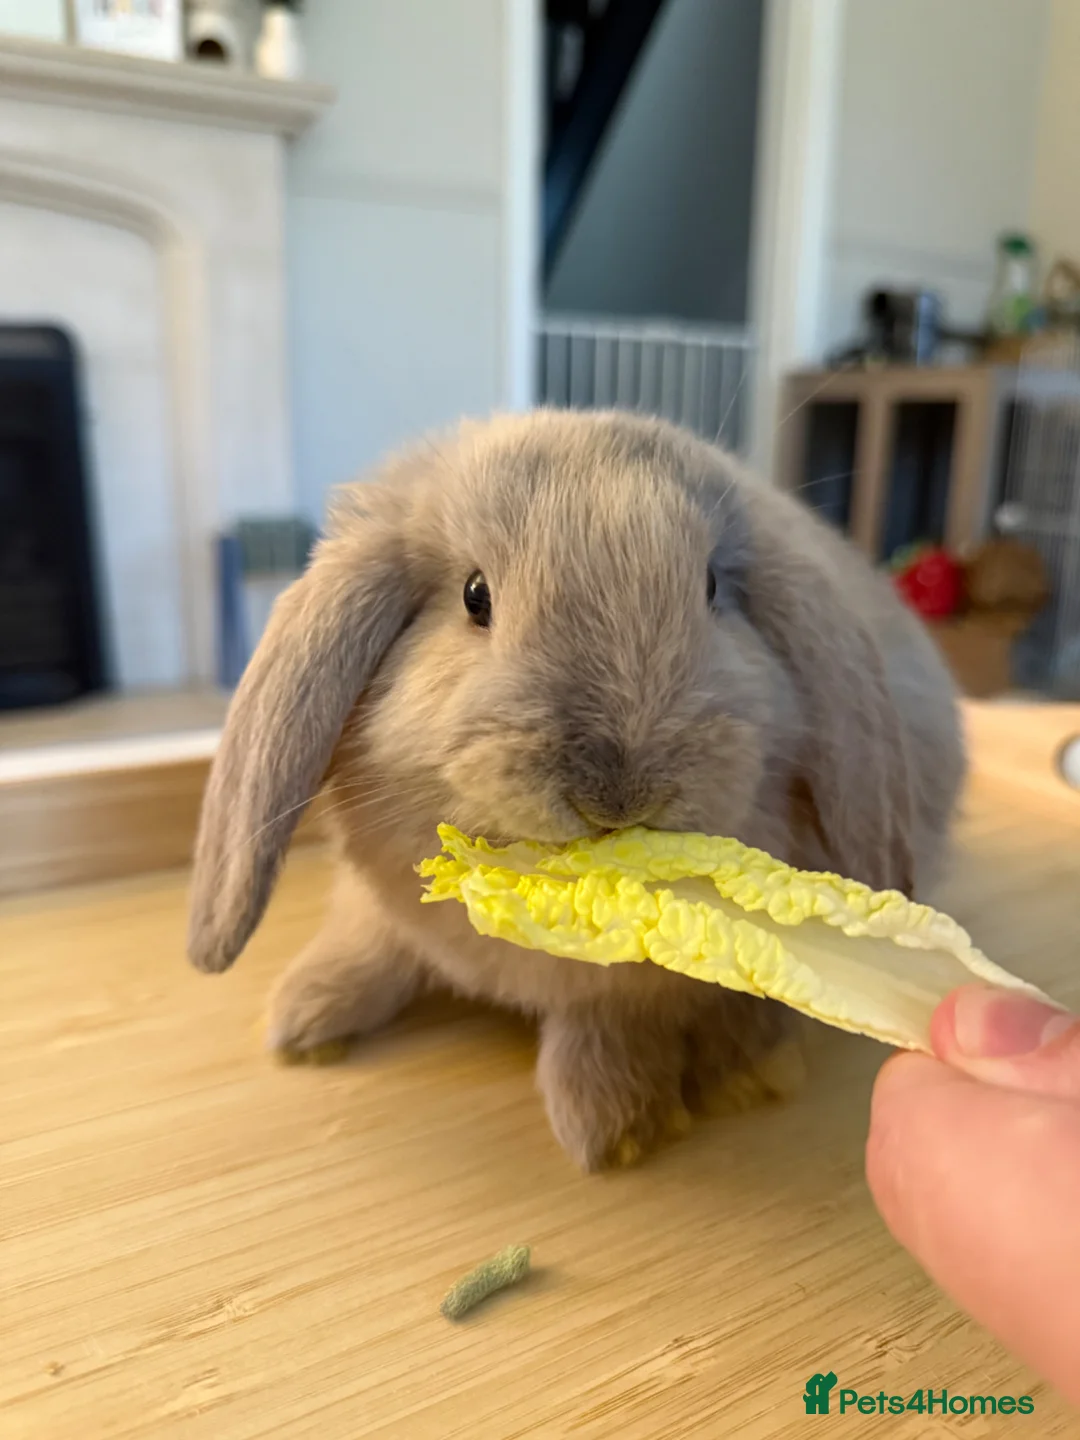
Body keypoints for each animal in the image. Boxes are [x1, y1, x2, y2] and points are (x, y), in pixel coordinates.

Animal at [187, 409, 966, 1171]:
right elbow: (369, 943)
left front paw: (608, 1128)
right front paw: (304, 1021)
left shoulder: (637, 986)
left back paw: (748, 1068)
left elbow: (607, 1024)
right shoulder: (377, 906)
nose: (619, 797)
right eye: (475, 595)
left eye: (712, 589)